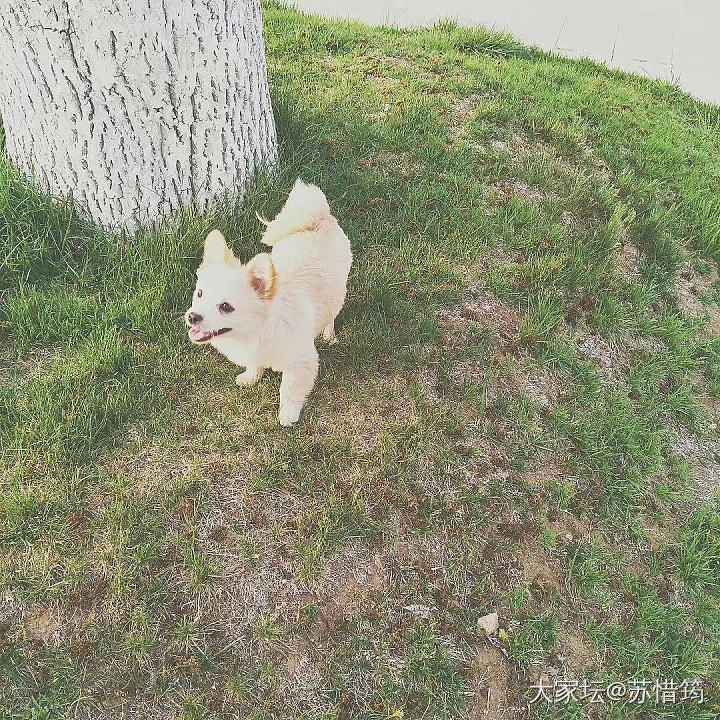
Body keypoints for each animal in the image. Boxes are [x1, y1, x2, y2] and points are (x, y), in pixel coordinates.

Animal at [187, 179, 352, 424]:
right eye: (199, 294)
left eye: (226, 307)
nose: (192, 316)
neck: (254, 332)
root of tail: (318, 218)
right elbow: (255, 364)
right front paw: (251, 377)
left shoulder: (301, 362)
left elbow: (289, 390)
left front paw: (288, 414)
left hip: (337, 292)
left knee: (330, 316)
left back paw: (329, 335)